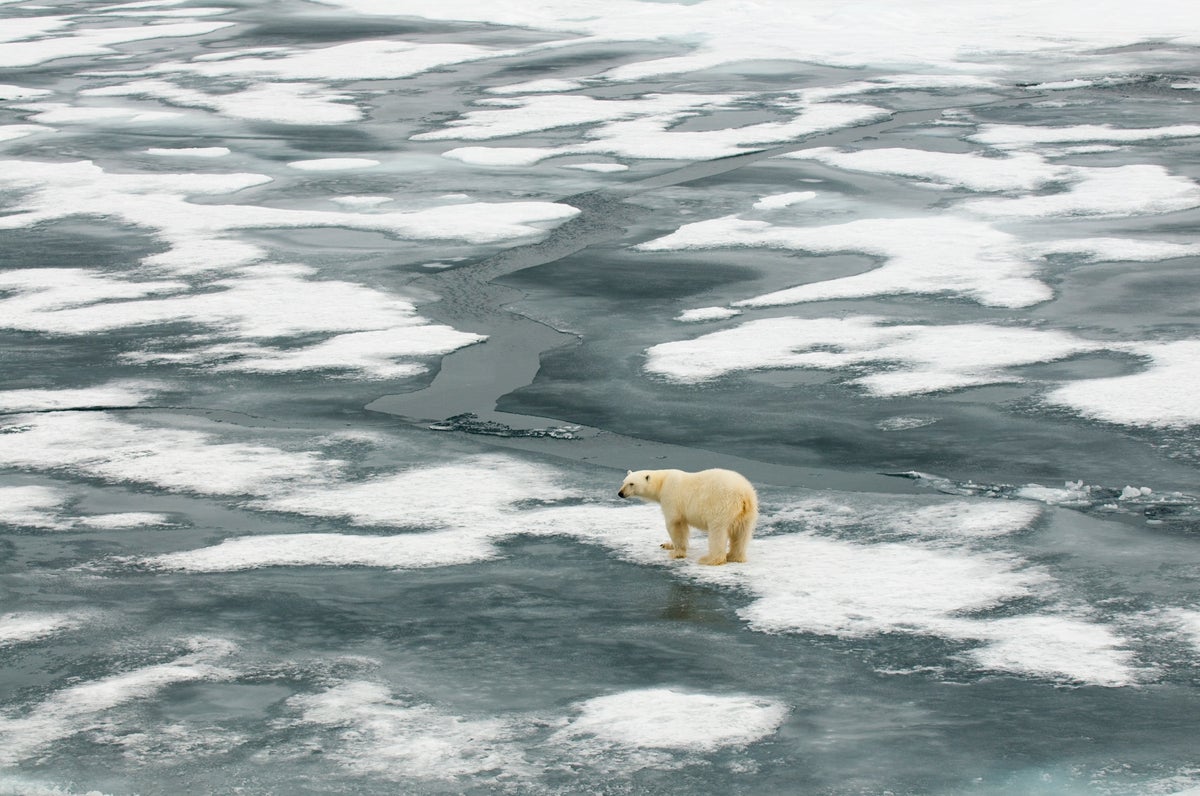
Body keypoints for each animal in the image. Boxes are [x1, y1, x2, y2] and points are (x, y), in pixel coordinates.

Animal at [619, 468, 758, 566]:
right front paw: (666, 545)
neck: (662, 482)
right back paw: (734, 556)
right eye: (624, 482)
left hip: (722, 507)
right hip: (748, 512)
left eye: (631, 484)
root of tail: (743, 494)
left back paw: (709, 559)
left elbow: (675, 524)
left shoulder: (671, 497)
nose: (620, 493)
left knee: (717, 532)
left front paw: (676, 553)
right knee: (742, 533)